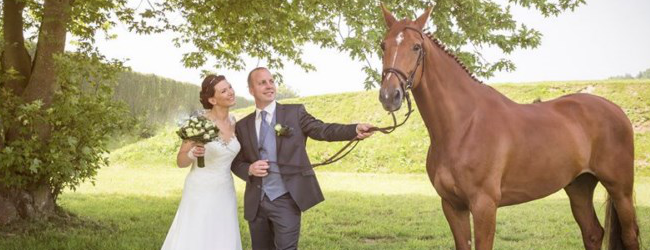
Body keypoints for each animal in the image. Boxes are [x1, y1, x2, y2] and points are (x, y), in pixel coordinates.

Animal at [380, 4, 636, 250]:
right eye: (383, 46)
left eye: (416, 47)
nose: (389, 96)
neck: (463, 126)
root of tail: (617, 110)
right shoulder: (453, 206)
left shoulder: (484, 205)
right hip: (579, 187)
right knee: (593, 233)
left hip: (620, 190)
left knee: (629, 236)